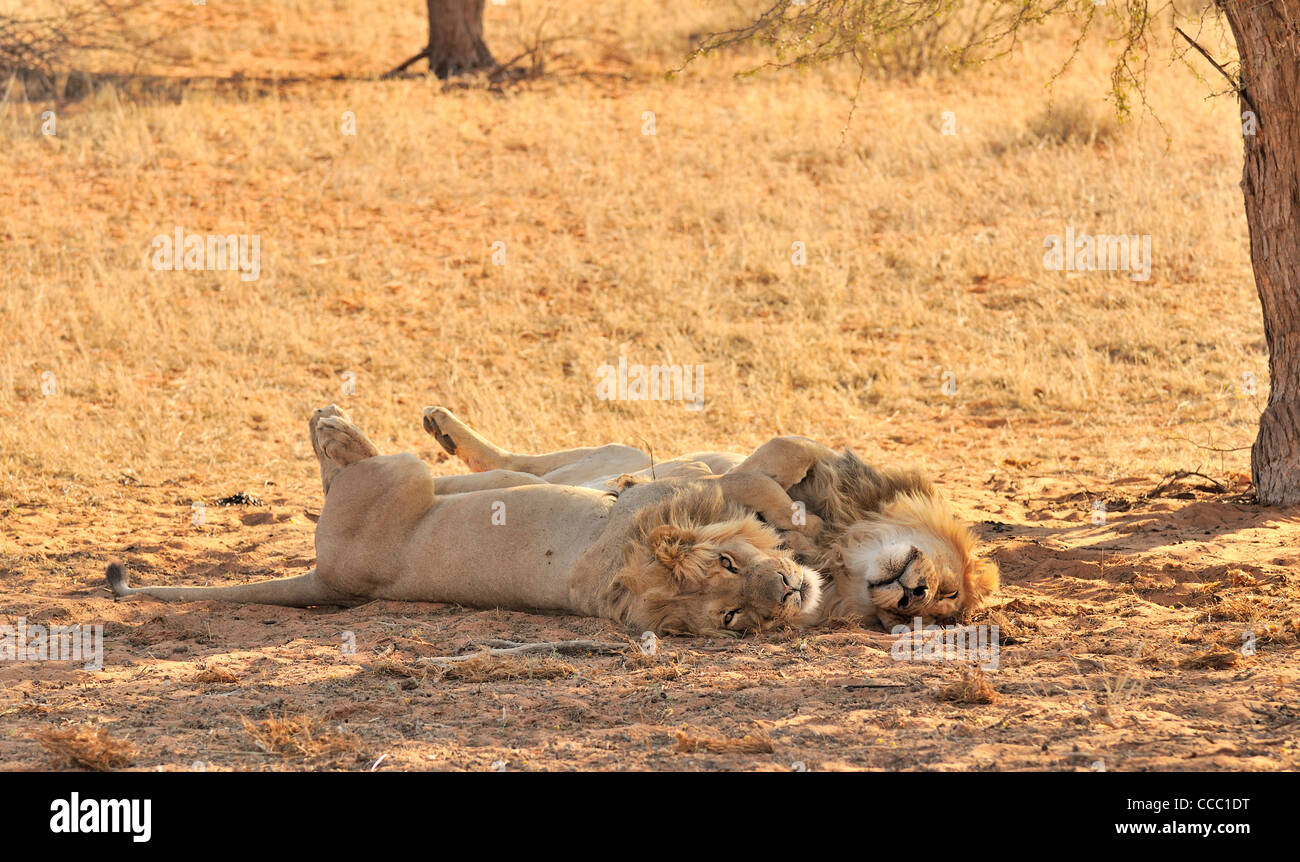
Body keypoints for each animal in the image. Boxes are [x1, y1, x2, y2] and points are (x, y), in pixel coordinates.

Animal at [111, 408, 821, 637]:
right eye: (725, 568)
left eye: (733, 617)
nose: (789, 592)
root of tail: (327, 580)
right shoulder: (686, 480)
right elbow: (777, 459)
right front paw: (797, 511)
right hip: (404, 473)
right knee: (348, 463)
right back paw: (335, 423)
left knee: (511, 469)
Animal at [421, 408, 998, 631]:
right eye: (948, 588)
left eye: (943, 606)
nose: (915, 594)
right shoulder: (755, 464)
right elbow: (777, 469)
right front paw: (797, 524)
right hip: (609, 451)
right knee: (521, 462)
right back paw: (442, 427)